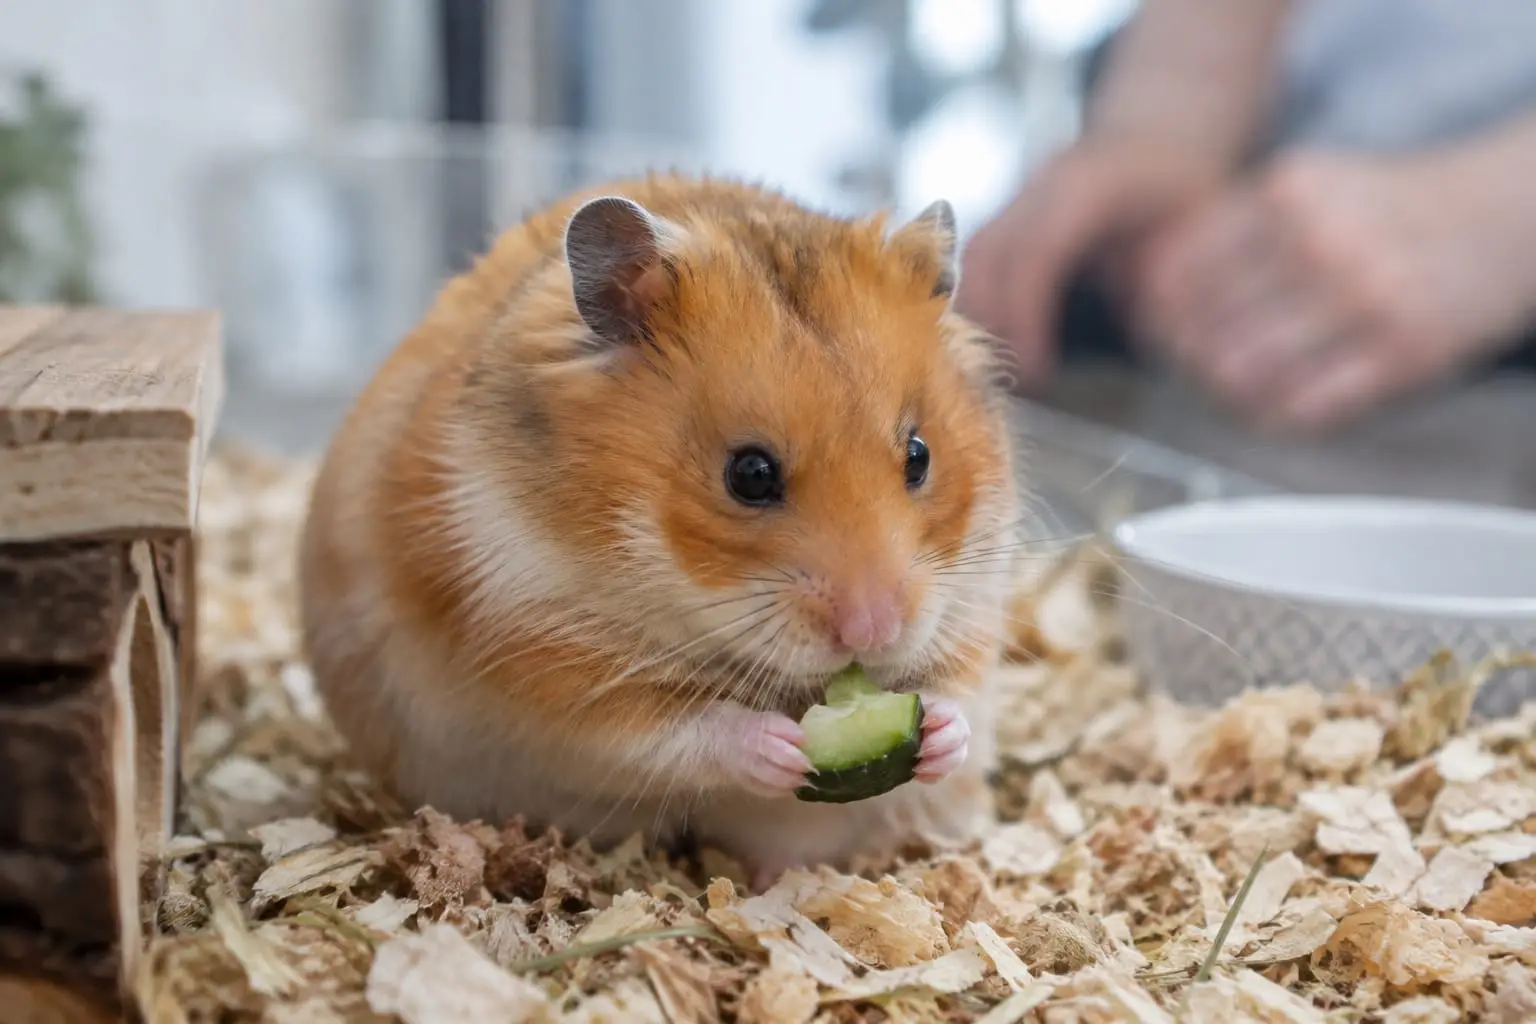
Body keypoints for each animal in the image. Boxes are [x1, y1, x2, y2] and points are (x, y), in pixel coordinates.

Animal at [298, 174, 1022, 888]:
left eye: (919, 456)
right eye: (750, 474)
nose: (873, 632)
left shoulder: (971, 615)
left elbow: (957, 692)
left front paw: (938, 736)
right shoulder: (545, 656)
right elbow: (677, 730)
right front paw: (781, 747)